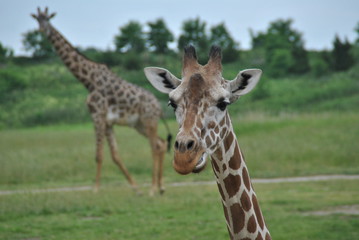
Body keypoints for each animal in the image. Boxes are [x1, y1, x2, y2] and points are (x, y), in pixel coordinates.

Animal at [31, 7, 172, 195]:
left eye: (47, 20)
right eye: (37, 20)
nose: (41, 30)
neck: (88, 80)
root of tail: (159, 107)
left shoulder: (97, 116)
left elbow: (99, 155)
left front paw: (95, 189)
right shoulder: (107, 122)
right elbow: (115, 155)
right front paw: (135, 188)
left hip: (149, 121)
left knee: (155, 147)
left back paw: (152, 189)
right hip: (139, 124)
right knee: (161, 143)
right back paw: (160, 187)